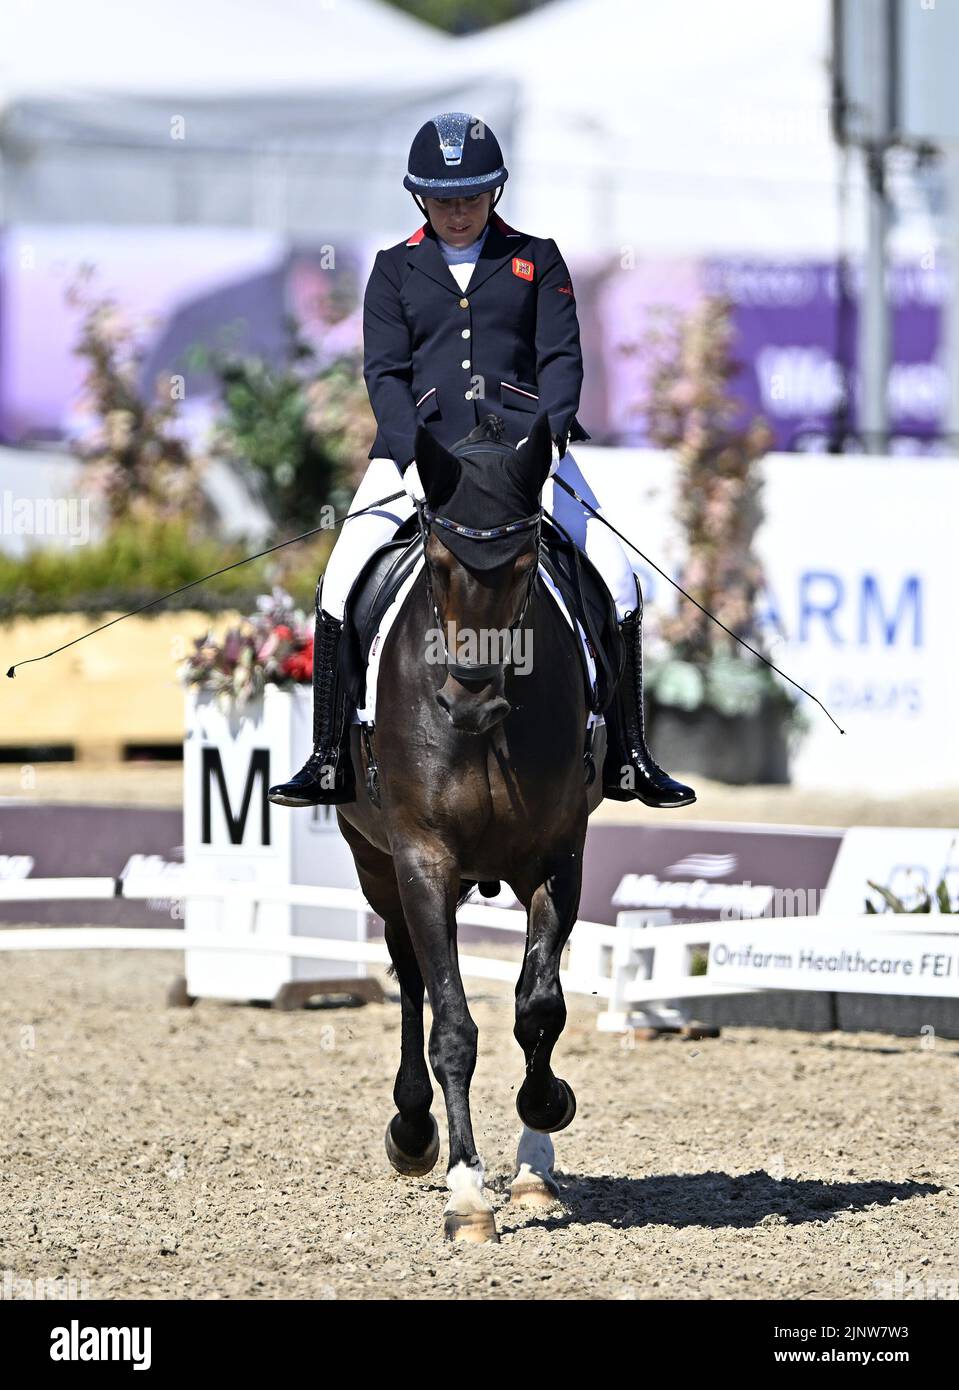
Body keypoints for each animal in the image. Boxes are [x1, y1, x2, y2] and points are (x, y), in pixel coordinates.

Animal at [336, 405, 605, 1245]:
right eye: (438, 560)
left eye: (524, 566)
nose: (470, 702)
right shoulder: (422, 859)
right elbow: (452, 1024)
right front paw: (465, 1194)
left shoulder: (559, 856)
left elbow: (538, 1009)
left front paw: (543, 1120)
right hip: (378, 867)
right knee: (410, 979)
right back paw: (412, 1130)